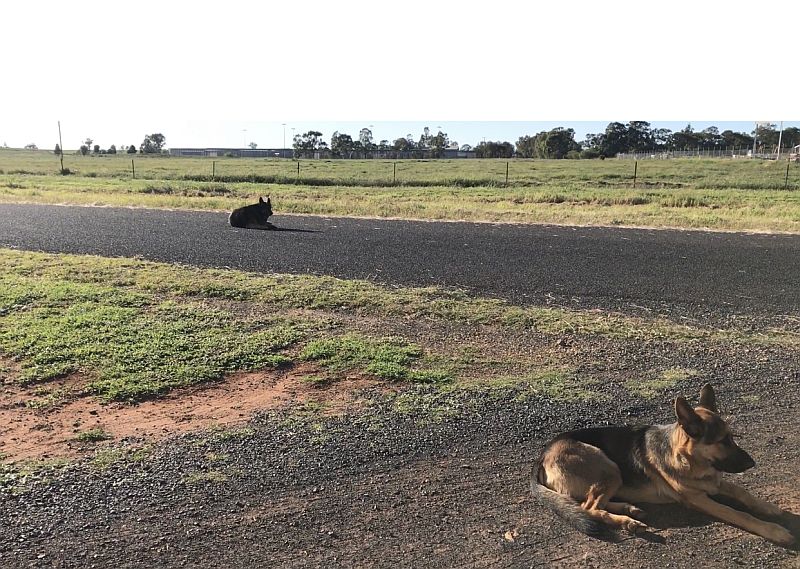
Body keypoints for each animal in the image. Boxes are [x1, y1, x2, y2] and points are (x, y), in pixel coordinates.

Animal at [532, 384, 792, 544]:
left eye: (732, 437)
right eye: (723, 441)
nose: (752, 463)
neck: (687, 461)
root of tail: (542, 456)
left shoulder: (715, 483)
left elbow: (743, 493)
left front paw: (769, 508)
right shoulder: (700, 499)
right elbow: (738, 513)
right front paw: (774, 530)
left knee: (586, 503)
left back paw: (630, 510)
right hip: (609, 469)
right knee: (588, 507)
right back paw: (627, 521)